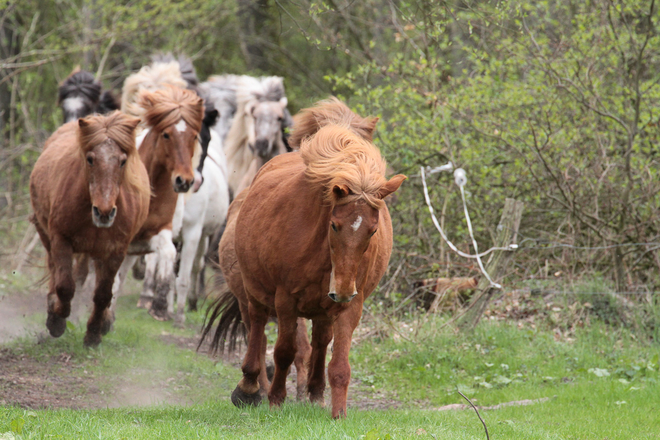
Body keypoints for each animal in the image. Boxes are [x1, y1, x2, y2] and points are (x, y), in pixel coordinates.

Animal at [30, 112, 148, 348]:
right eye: (90, 158)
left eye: (122, 161)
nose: (104, 212)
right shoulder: (61, 240)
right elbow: (65, 286)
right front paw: (56, 321)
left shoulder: (115, 251)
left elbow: (103, 294)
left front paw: (93, 334)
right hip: (46, 235)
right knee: (54, 270)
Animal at [204, 100, 404, 420]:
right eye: (334, 225)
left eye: (373, 230)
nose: (342, 290)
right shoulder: (286, 300)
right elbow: (283, 351)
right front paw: (275, 399)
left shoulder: (352, 305)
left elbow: (339, 364)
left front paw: (338, 413)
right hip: (254, 294)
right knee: (258, 331)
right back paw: (251, 389)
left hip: (321, 308)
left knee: (318, 342)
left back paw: (314, 394)